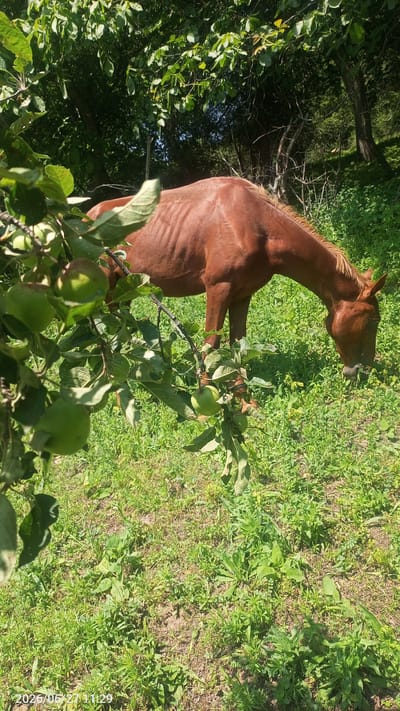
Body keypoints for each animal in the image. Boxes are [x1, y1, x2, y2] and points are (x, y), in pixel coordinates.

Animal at [87, 176, 387, 378]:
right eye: (373, 321)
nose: (363, 370)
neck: (257, 224)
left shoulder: (243, 294)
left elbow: (237, 342)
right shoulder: (218, 288)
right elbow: (210, 344)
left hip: (124, 287)